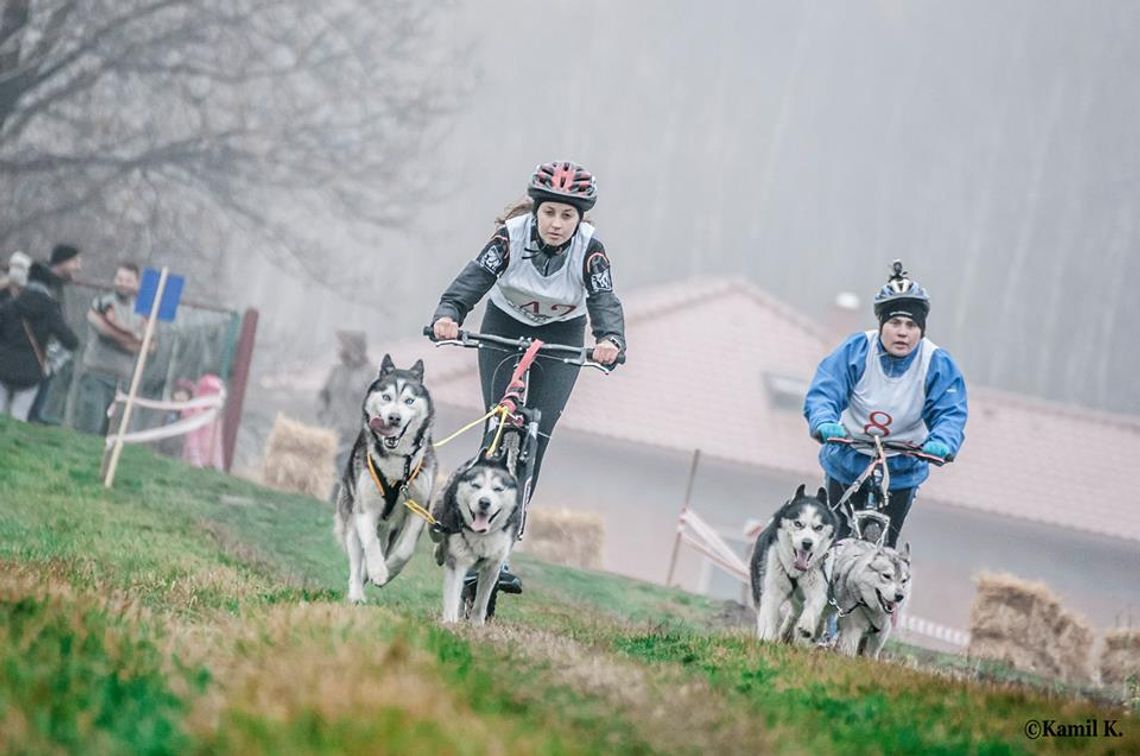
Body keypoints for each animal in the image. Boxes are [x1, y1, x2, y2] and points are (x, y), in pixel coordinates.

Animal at [332, 355, 435, 602]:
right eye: (386, 397)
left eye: (409, 401)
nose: (394, 418)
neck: (397, 462)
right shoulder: (365, 512)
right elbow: (370, 543)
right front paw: (378, 571)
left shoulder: (418, 508)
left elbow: (405, 551)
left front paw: (389, 570)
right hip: (352, 519)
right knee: (357, 560)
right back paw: (357, 593)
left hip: (391, 529)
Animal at [430, 458, 522, 624]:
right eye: (476, 485)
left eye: (498, 489)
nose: (484, 502)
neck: (481, 535)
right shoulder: (457, 560)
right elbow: (452, 595)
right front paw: (450, 622)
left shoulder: (493, 565)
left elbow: (481, 601)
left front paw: (476, 624)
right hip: (437, 519)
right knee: (438, 533)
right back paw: (439, 552)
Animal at [747, 485, 839, 643]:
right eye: (798, 523)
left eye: (818, 527)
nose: (807, 543)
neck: (796, 570)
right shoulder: (772, 587)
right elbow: (769, 611)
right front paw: (767, 638)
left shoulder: (818, 581)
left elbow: (815, 602)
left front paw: (807, 625)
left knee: (797, 611)